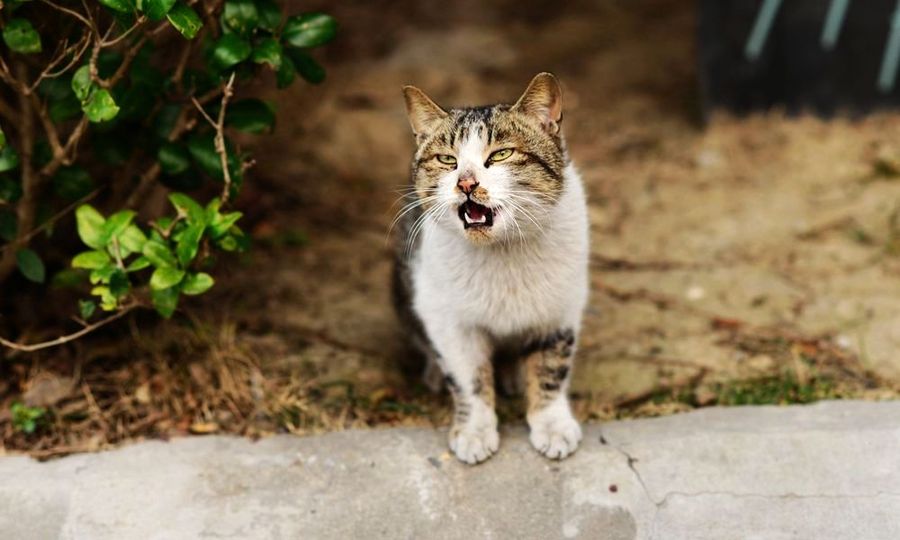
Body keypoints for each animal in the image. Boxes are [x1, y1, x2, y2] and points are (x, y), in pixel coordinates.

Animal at [388, 73, 588, 464]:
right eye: (447, 160)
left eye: (501, 154)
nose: (466, 182)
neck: (502, 251)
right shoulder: (448, 320)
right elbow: (469, 379)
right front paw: (474, 431)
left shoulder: (560, 311)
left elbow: (551, 369)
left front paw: (552, 426)